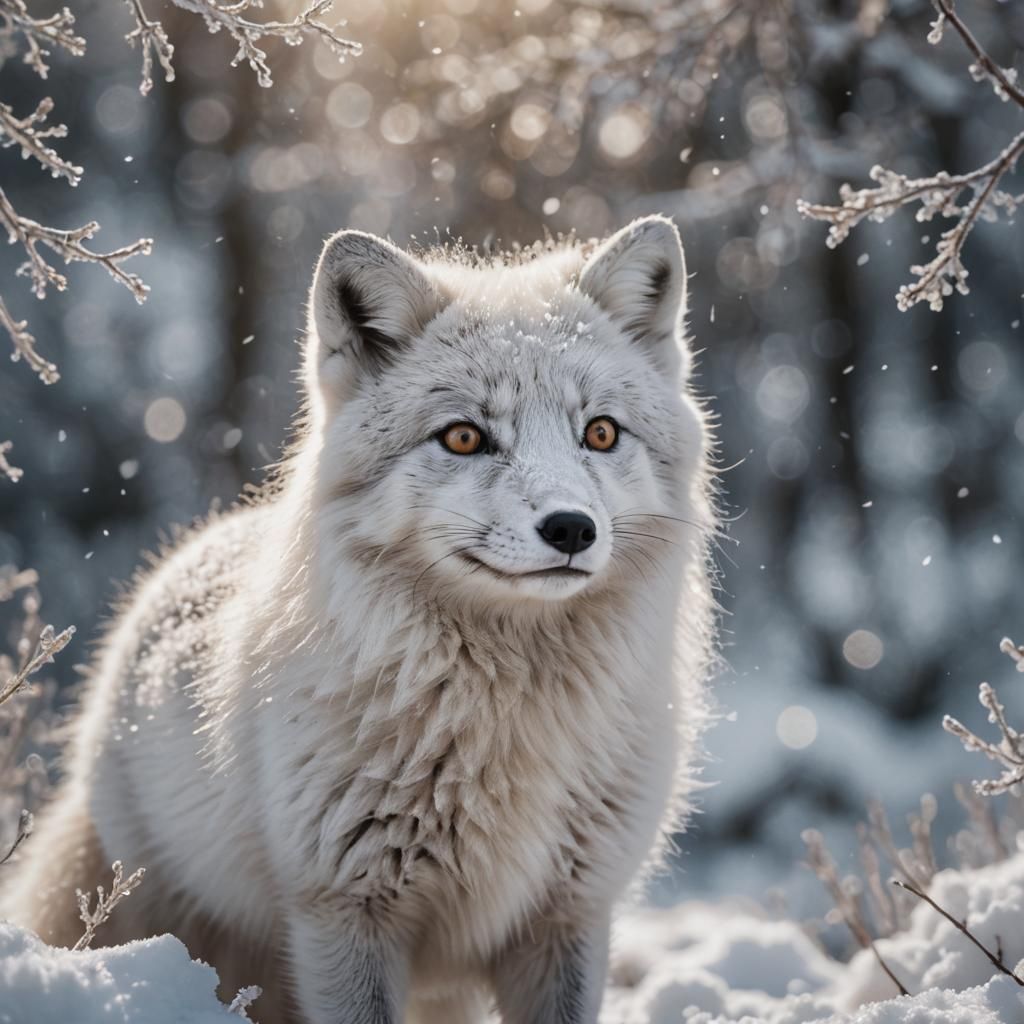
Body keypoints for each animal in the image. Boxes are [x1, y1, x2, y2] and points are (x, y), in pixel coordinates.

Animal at [1, 214, 717, 1024]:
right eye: (464, 436)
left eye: (600, 433)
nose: (571, 528)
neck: (509, 724)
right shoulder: (343, 914)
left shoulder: (568, 915)